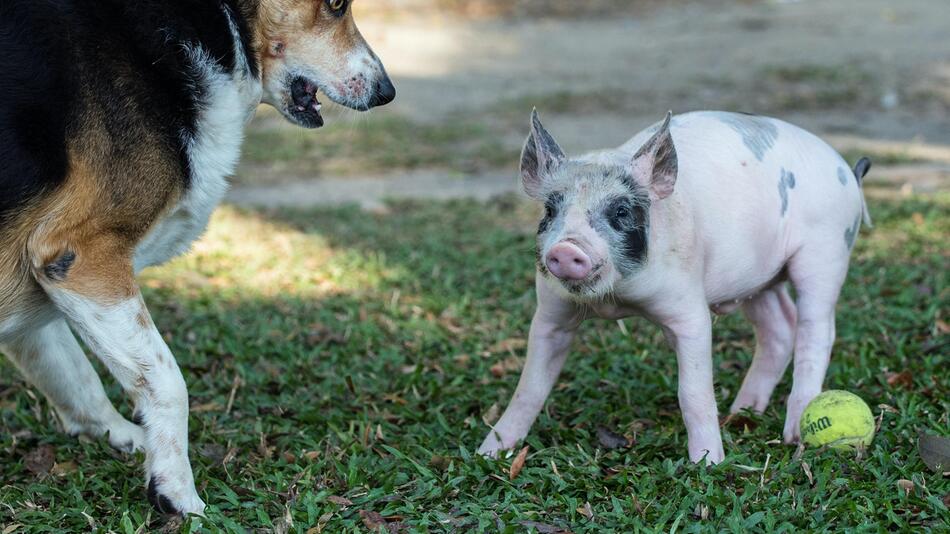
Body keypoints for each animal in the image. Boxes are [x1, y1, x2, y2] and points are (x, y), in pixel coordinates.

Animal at [0, 0, 394, 520]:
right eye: (336, 5)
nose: (387, 92)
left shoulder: (44, 288)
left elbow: (76, 378)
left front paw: (127, 439)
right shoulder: (81, 255)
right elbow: (167, 381)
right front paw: (178, 494)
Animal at [480, 112, 872, 464]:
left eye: (621, 211)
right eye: (550, 210)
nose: (565, 249)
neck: (616, 299)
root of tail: (848, 172)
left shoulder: (690, 310)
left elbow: (693, 392)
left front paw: (707, 462)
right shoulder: (551, 312)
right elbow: (529, 387)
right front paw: (489, 452)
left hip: (826, 252)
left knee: (816, 330)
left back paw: (793, 435)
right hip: (757, 279)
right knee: (779, 327)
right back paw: (742, 410)